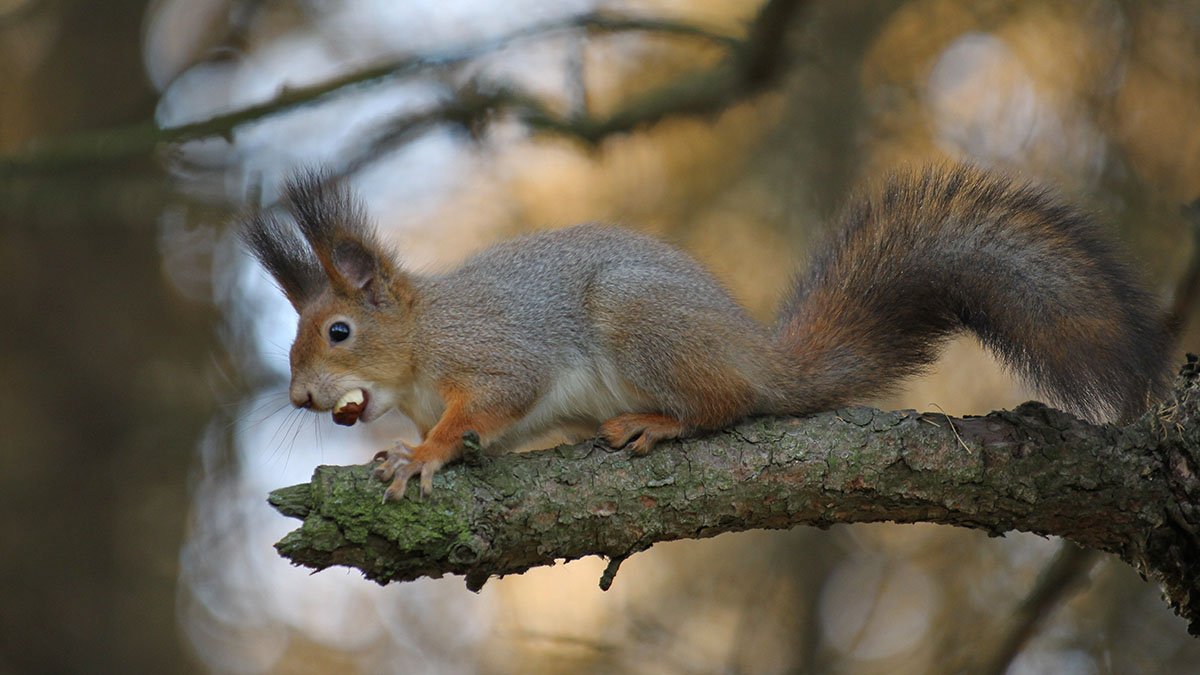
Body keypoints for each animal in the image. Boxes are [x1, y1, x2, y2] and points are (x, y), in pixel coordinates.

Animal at [241, 164, 1171, 497]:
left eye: (338, 331)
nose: (301, 396)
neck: (422, 343)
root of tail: (765, 358)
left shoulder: (497, 352)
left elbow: (487, 404)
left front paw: (423, 453)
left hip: (642, 323)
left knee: (726, 404)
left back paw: (657, 421)